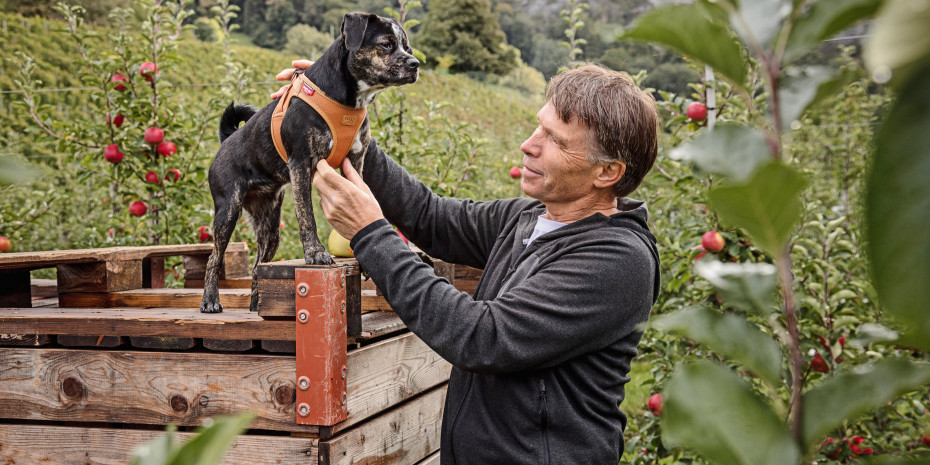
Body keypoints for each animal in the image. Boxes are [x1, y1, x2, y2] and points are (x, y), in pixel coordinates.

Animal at [199, 13, 416, 312]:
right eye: (386, 44)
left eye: (407, 46)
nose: (415, 64)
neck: (348, 102)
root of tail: (225, 141)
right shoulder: (301, 164)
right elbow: (307, 218)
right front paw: (315, 254)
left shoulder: (355, 161)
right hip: (227, 209)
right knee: (214, 258)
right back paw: (210, 300)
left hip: (269, 226)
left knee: (258, 265)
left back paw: (256, 304)